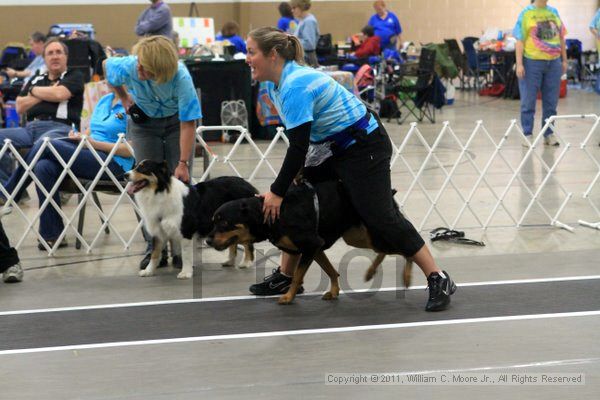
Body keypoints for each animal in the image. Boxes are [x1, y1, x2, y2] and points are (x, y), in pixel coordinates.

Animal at [126, 159, 258, 278]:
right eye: (135, 166)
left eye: (143, 168)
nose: (124, 175)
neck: (160, 192)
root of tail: (248, 185)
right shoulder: (159, 231)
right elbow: (154, 253)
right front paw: (148, 271)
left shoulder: (186, 231)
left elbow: (186, 254)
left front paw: (186, 272)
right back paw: (229, 261)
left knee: (247, 243)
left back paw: (246, 262)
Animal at [207, 180, 412, 304]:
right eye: (213, 221)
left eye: (224, 222)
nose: (208, 240)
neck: (273, 215)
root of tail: (388, 192)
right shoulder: (316, 247)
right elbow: (331, 270)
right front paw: (334, 291)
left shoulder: (311, 245)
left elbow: (298, 275)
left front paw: (288, 296)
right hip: (355, 236)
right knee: (385, 249)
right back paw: (370, 272)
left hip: (372, 229)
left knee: (405, 247)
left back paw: (406, 276)